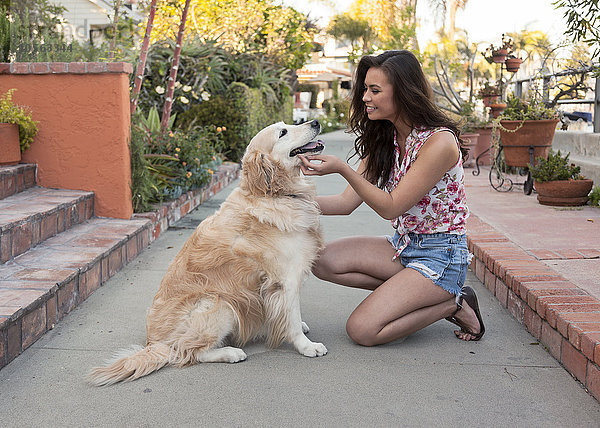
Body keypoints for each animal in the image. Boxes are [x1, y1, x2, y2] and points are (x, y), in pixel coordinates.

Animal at [86, 119, 326, 384]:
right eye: (282, 132)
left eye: (290, 124)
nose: (315, 121)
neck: (275, 194)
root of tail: (154, 343)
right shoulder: (284, 279)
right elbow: (291, 316)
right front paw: (306, 346)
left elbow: (291, 313)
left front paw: (300, 327)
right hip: (220, 303)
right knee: (188, 352)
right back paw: (230, 352)